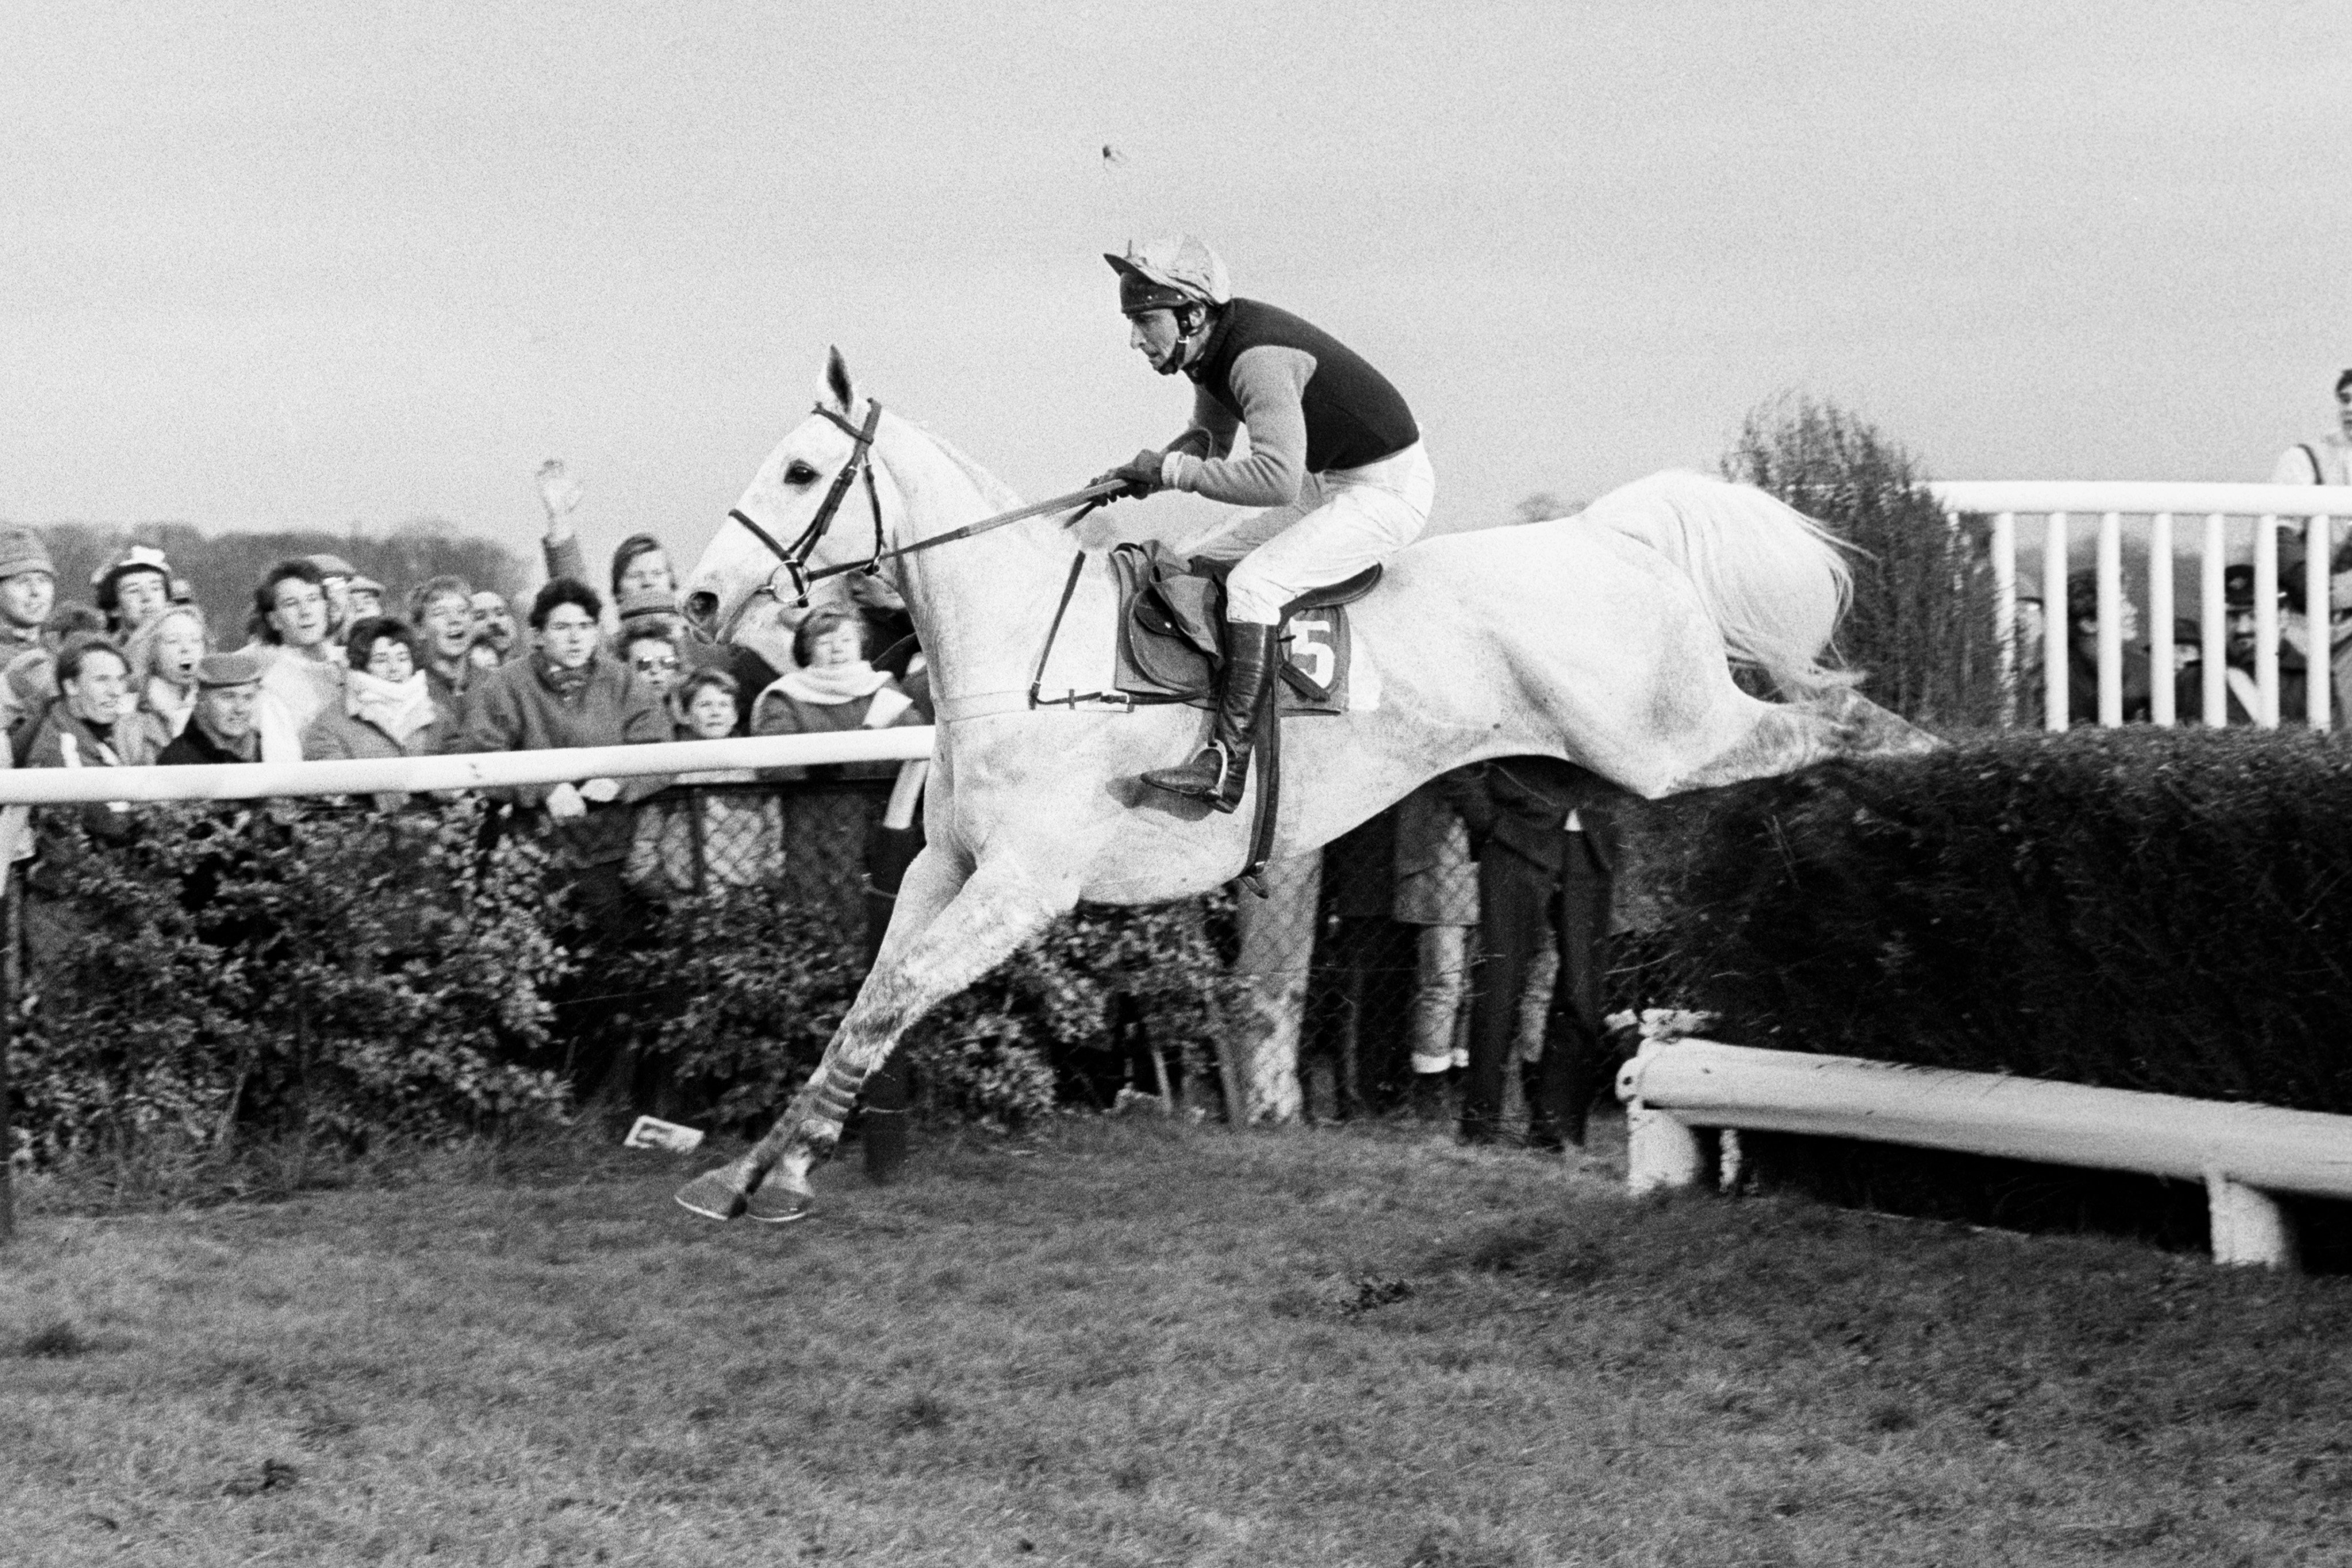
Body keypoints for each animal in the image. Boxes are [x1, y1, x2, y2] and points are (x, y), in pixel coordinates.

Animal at [672, 355, 1919, 1222]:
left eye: (799, 471)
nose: (697, 600)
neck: (1021, 645)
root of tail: (1611, 536)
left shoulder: (1023, 888)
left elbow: (894, 995)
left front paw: (773, 1169)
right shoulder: (948, 866)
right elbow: (867, 1001)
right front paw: (763, 1167)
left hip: (1663, 740)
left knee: (1836, 720)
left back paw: (1920, 779)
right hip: (1642, 747)